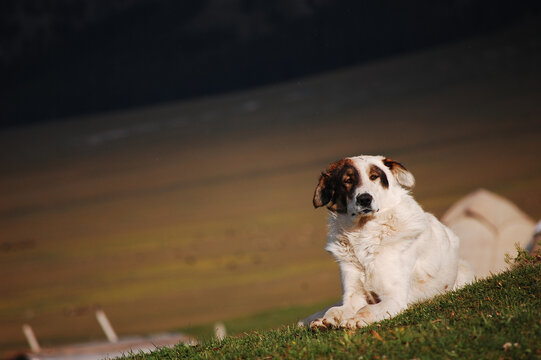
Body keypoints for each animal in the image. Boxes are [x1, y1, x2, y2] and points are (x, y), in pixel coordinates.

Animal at [304, 155, 472, 330]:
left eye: (374, 176)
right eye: (348, 180)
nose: (364, 199)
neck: (363, 234)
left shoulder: (394, 298)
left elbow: (367, 308)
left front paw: (356, 319)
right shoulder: (354, 295)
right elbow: (336, 309)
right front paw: (326, 320)